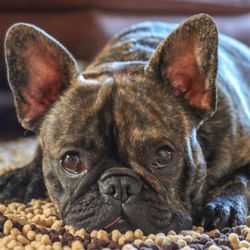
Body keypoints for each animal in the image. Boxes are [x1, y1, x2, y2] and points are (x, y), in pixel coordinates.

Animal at [1, 13, 250, 232]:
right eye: (71, 161)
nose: (120, 185)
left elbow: (239, 179)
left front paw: (223, 205)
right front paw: (22, 176)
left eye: (164, 156)